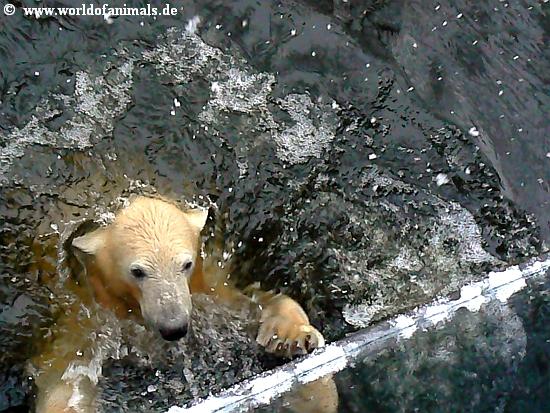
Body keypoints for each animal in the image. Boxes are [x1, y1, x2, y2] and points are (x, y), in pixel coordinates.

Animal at [32, 196, 325, 413]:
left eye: (186, 264)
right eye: (137, 271)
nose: (174, 327)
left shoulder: (211, 297)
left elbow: (262, 303)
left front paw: (291, 339)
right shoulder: (90, 317)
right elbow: (66, 377)